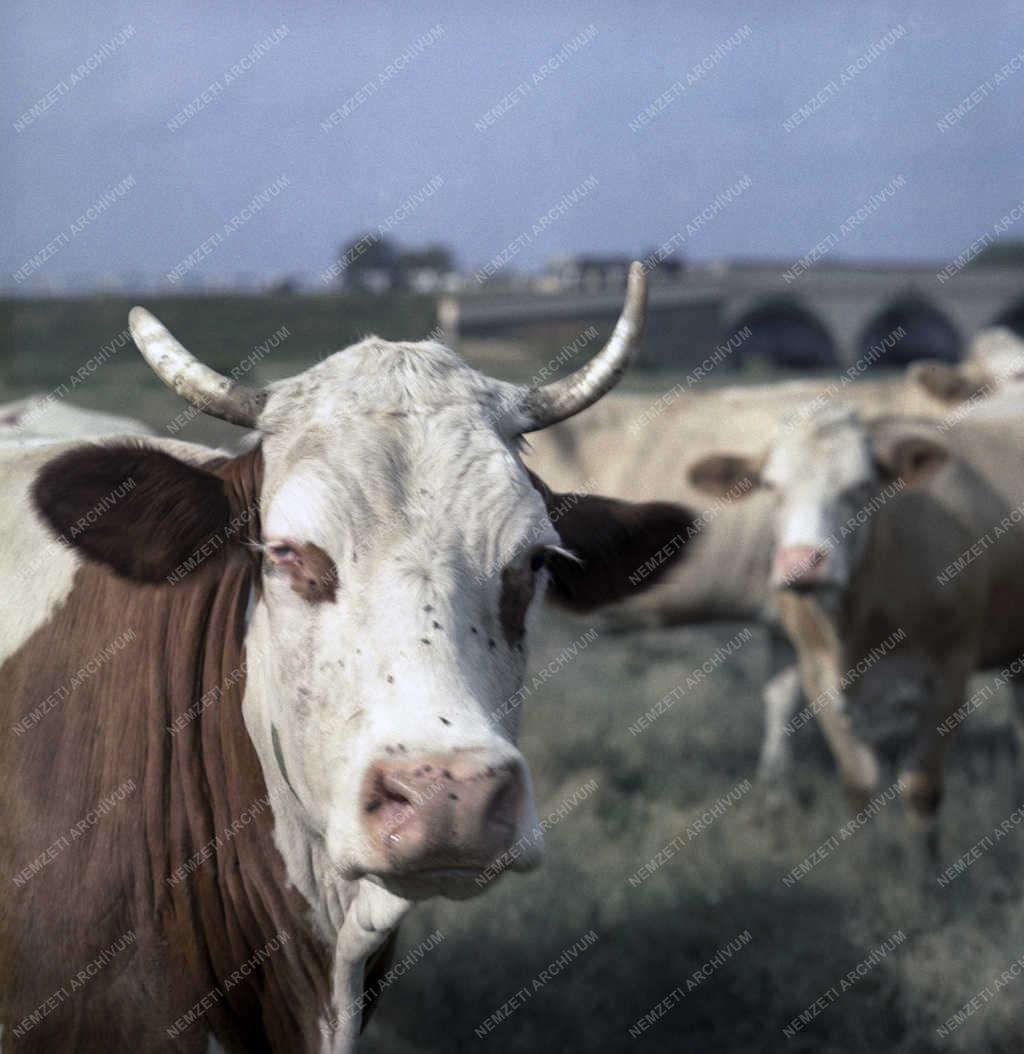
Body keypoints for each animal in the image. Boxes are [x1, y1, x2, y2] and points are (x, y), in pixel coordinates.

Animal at [686, 402, 1024, 838]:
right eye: (771, 486)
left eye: (861, 486)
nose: (802, 562)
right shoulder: (817, 676)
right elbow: (858, 787)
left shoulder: (949, 677)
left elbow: (922, 794)